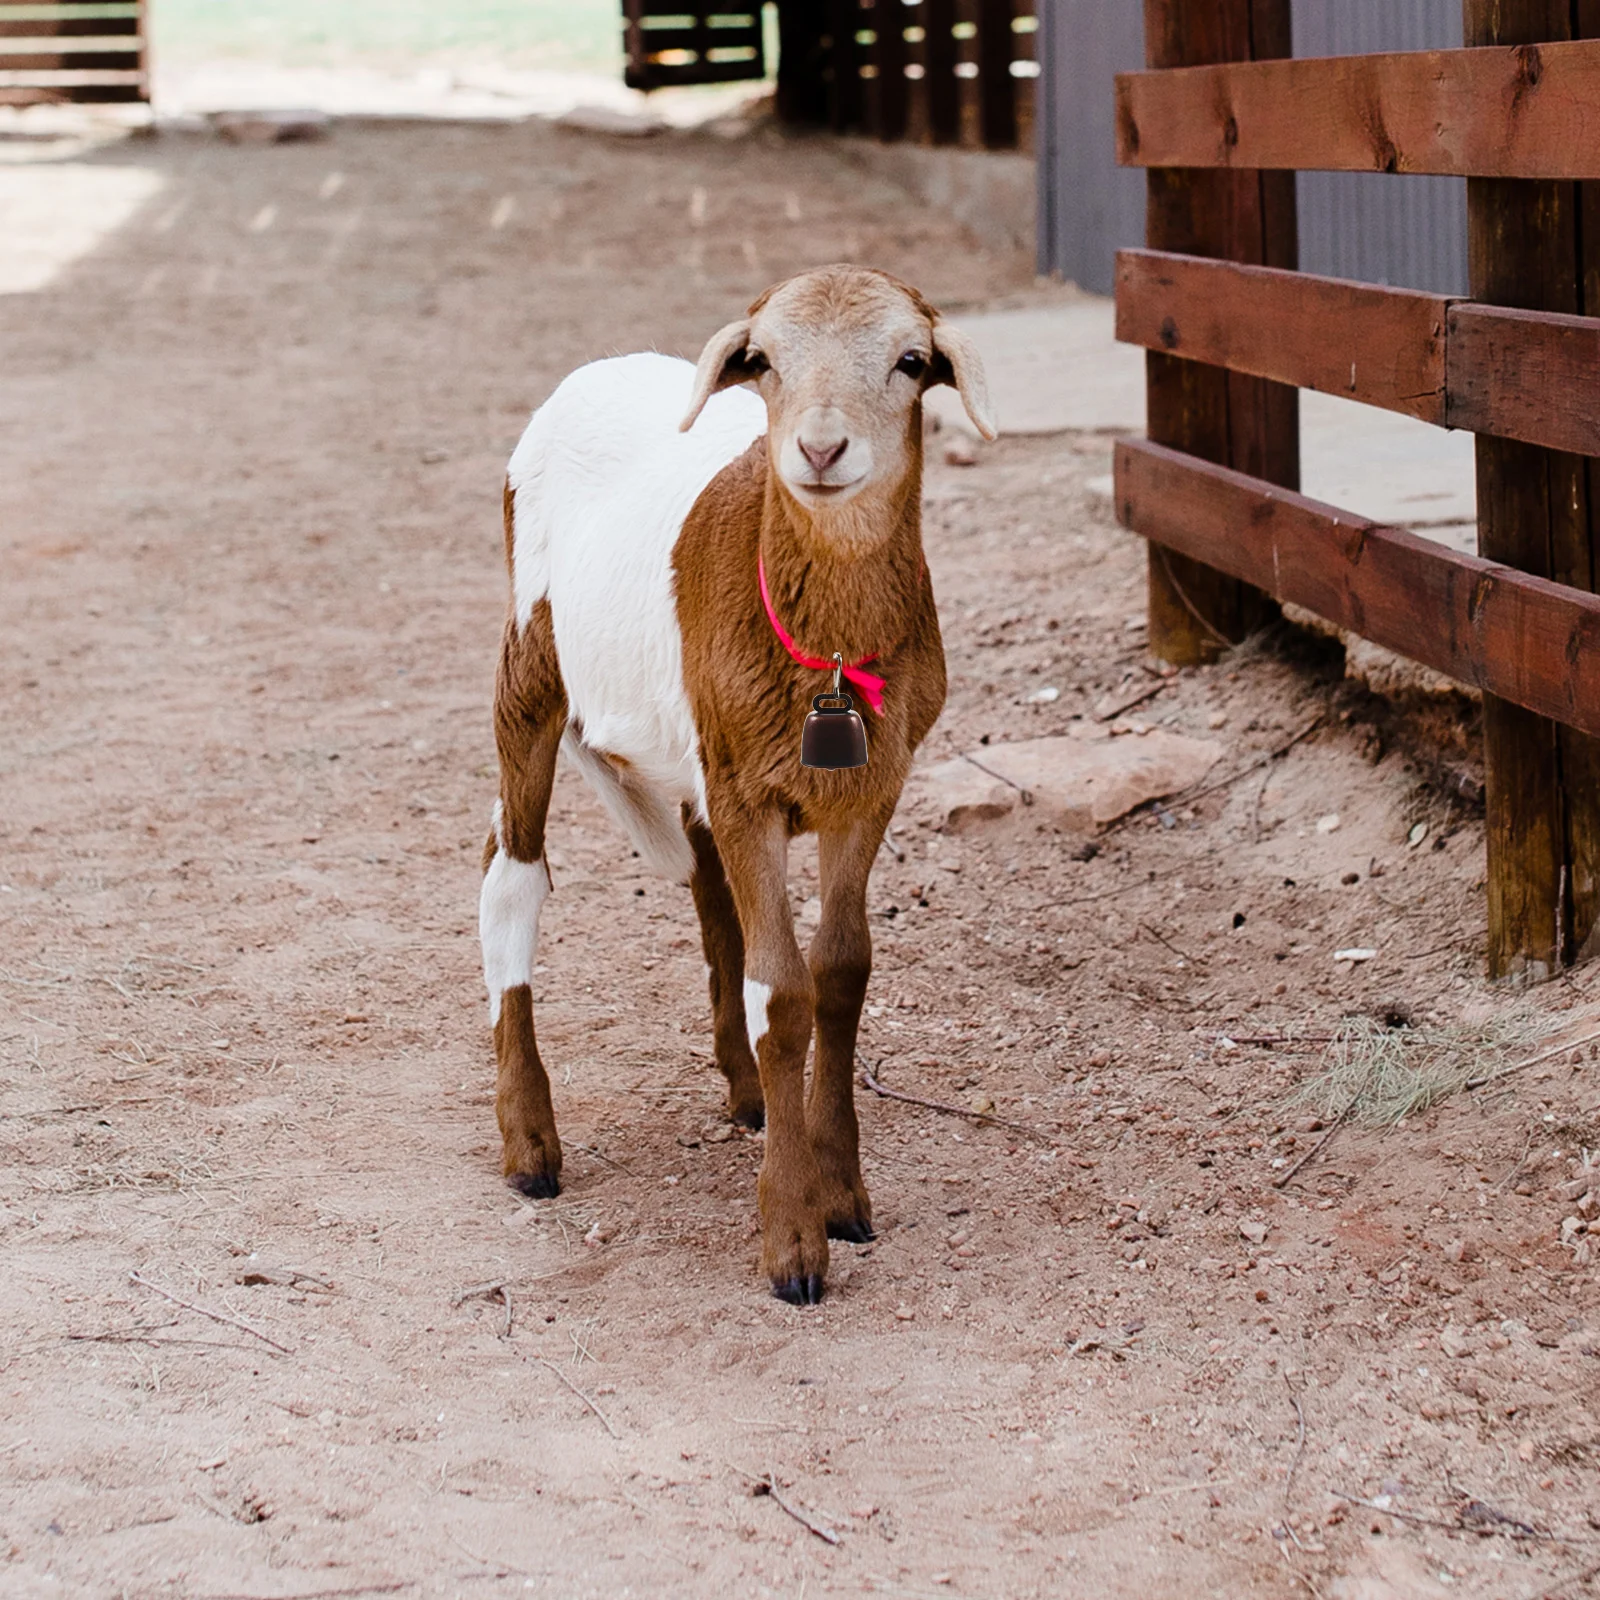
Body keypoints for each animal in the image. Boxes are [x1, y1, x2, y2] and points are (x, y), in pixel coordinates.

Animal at [480, 268, 992, 1305]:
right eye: (765, 361)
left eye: (910, 360)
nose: (821, 449)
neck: (828, 655)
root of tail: (605, 364)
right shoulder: (748, 791)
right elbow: (781, 992)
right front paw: (793, 1241)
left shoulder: (870, 786)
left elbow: (839, 974)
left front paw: (842, 1192)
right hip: (531, 655)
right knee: (511, 875)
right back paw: (530, 1143)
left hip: (693, 748)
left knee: (707, 886)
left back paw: (749, 1092)